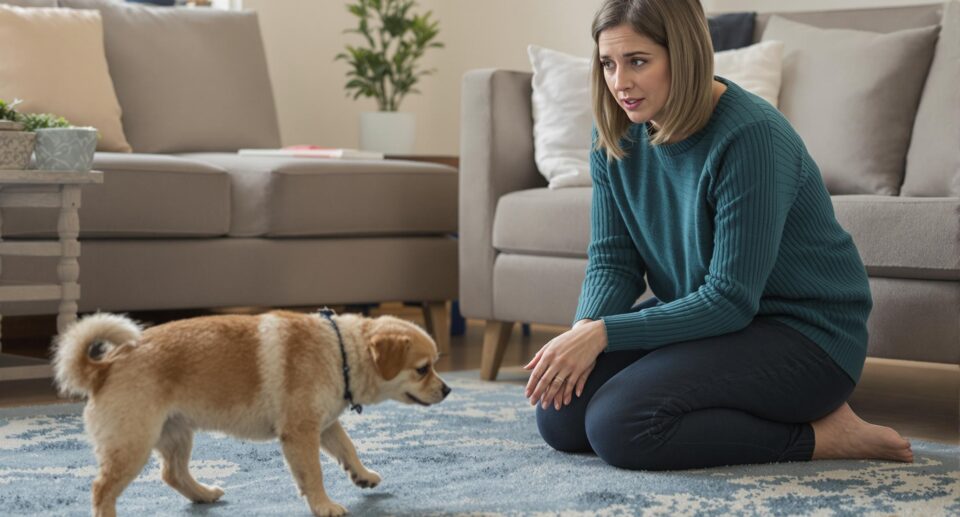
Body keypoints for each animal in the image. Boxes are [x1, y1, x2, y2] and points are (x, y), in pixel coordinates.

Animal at [54, 308, 452, 512]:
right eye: (423, 369)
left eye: (434, 365)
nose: (448, 389)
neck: (339, 351)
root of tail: (103, 367)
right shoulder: (301, 434)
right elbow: (314, 475)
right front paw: (324, 505)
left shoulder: (323, 426)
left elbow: (348, 448)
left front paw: (363, 474)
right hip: (133, 445)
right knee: (102, 489)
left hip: (177, 434)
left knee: (173, 474)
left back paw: (203, 495)